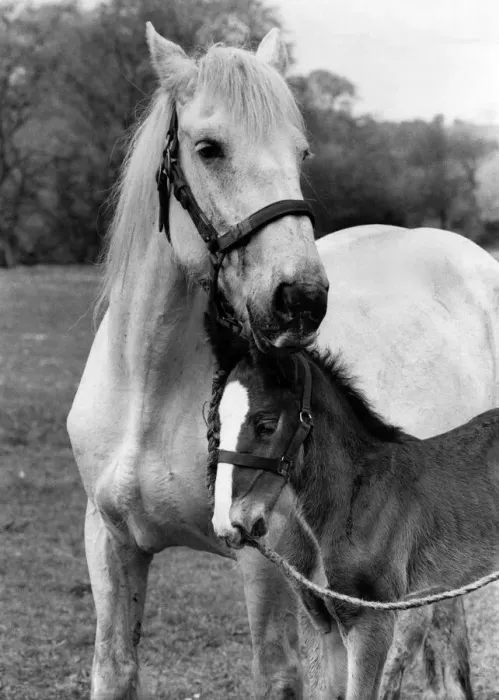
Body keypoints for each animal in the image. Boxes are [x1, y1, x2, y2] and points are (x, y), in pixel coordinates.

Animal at [211, 336, 499, 700]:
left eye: (266, 425)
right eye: (218, 425)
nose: (227, 523)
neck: (354, 494)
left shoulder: (370, 621)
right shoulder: (327, 622)